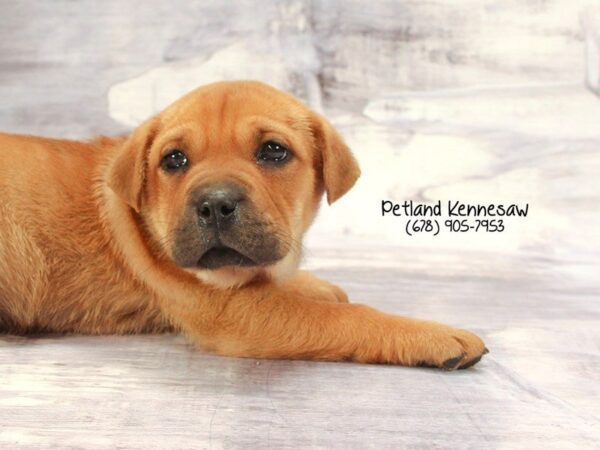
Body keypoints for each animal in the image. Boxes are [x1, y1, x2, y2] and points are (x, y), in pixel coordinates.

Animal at [0, 81, 488, 370]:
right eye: (173, 160)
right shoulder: (237, 314)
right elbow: (346, 318)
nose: (215, 204)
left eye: (273, 151)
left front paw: (312, 283)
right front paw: (434, 335)